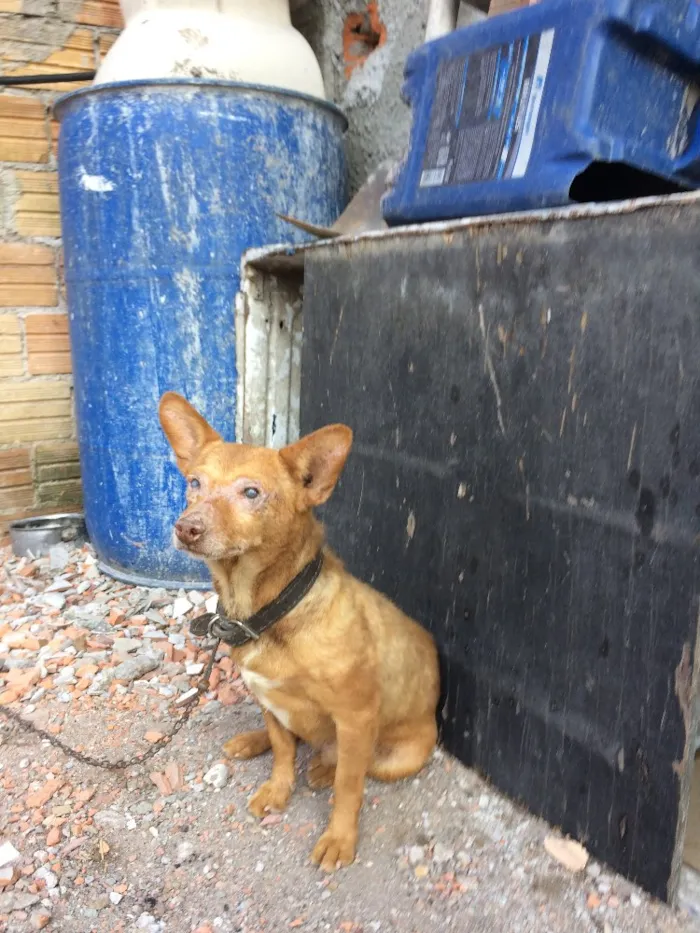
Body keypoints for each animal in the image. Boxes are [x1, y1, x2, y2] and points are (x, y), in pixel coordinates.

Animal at [161, 392, 440, 868]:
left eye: (251, 492)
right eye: (194, 482)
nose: (186, 528)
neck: (269, 611)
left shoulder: (356, 716)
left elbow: (350, 786)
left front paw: (340, 837)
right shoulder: (268, 699)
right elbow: (283, 750)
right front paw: (278, 788)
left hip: (405, 752)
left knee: (356, 763)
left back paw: (326, 767)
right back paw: (255, 741)